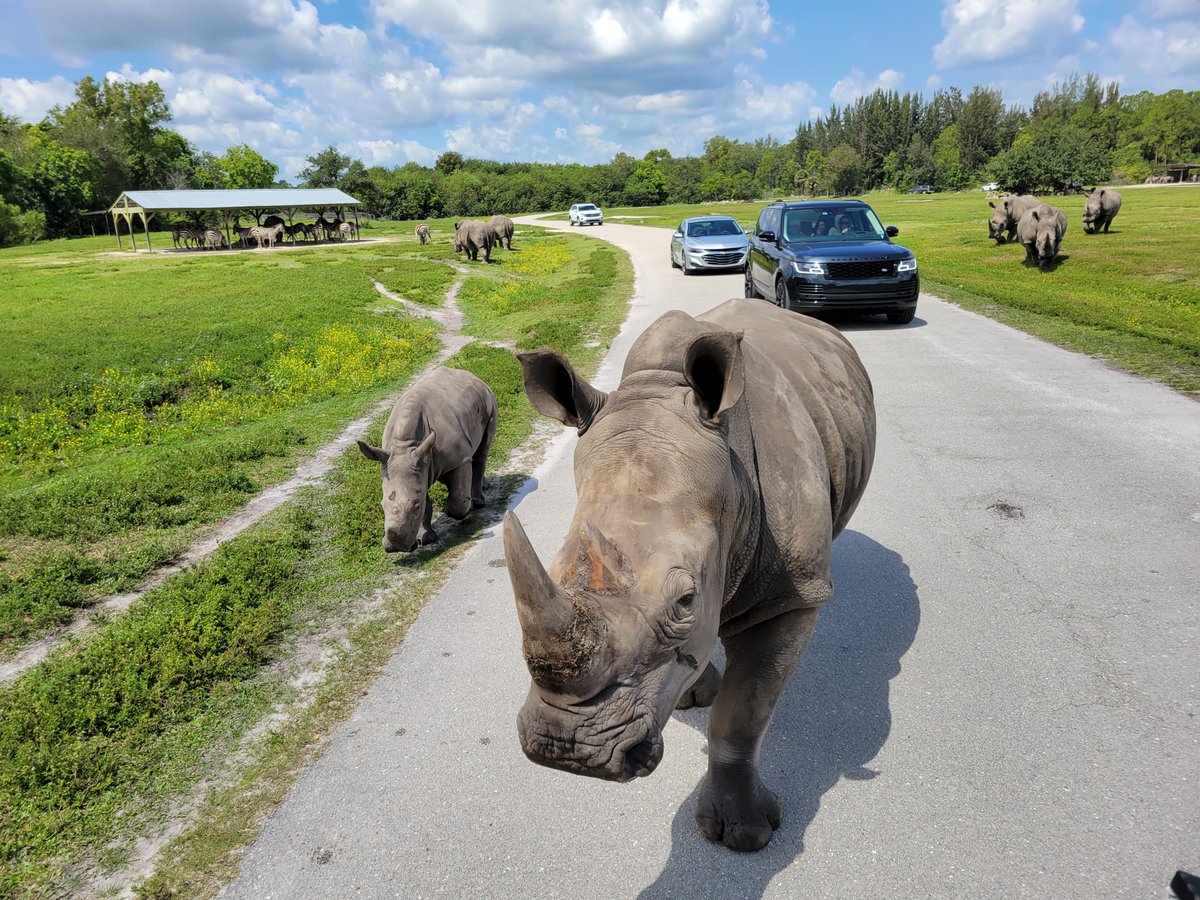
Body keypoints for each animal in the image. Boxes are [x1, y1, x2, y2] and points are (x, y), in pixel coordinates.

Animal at [355, 364, 496, 549]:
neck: (405, 446)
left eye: (415, 506)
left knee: (482, 451)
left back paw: (478, 502)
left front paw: (453, 510)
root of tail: (472, 375)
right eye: (382, 505)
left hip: (489, 400)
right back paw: (484, 486)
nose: (395, 548)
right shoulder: (418, 466)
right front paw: (426, 539)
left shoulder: (458, 459)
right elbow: (426, 503)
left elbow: (457, 498)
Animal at [501, 297, 878, 854]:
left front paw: (745, 836)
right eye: (555, 570)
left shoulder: (791, 598)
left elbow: (742, 716)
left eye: (684, 601)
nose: (565, 748)